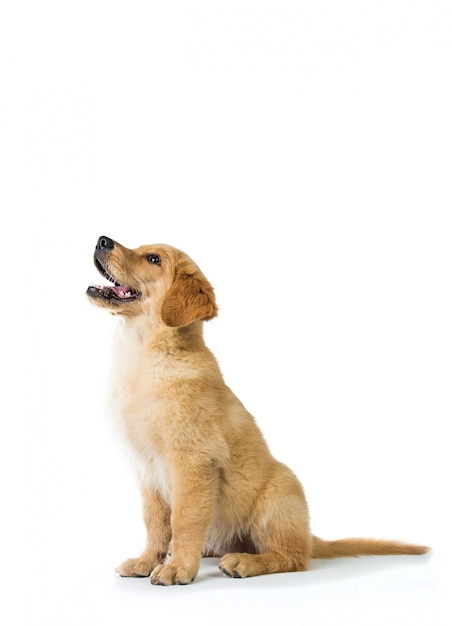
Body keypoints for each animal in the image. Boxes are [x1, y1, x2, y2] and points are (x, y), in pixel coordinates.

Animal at [86, 235, 430, 584]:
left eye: (153, 259)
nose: (102, 240)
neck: (145, 354)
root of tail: (309, 535)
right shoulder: (146, 468)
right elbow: (155, 522)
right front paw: (145, 562)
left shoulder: (192, 460)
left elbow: (183, 519)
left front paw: (177, 568)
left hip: (278, 495)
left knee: (292, 557)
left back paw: (243, 562)